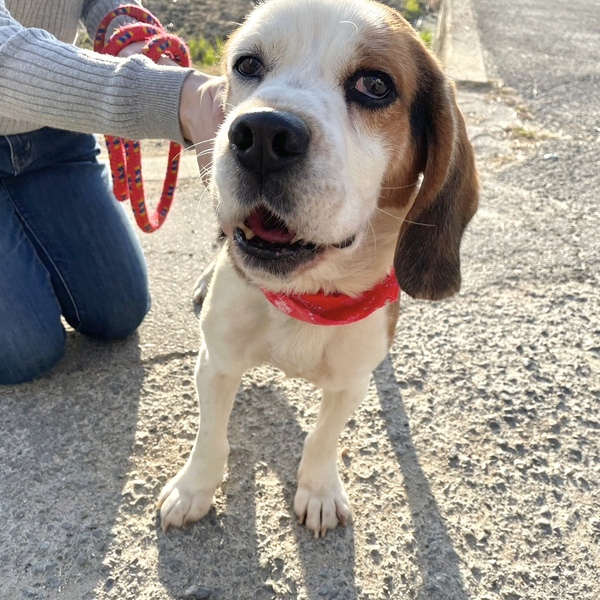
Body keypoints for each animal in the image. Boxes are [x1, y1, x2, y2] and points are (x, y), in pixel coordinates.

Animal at [158, 0, 478, 537]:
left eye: (375, 85)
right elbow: (211, 437)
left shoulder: (351, 382)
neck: (307, 295)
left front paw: (320, 491)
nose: (262, 133)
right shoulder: (217, 362)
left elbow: (324, 437)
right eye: (248, 64)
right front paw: (193, 488)